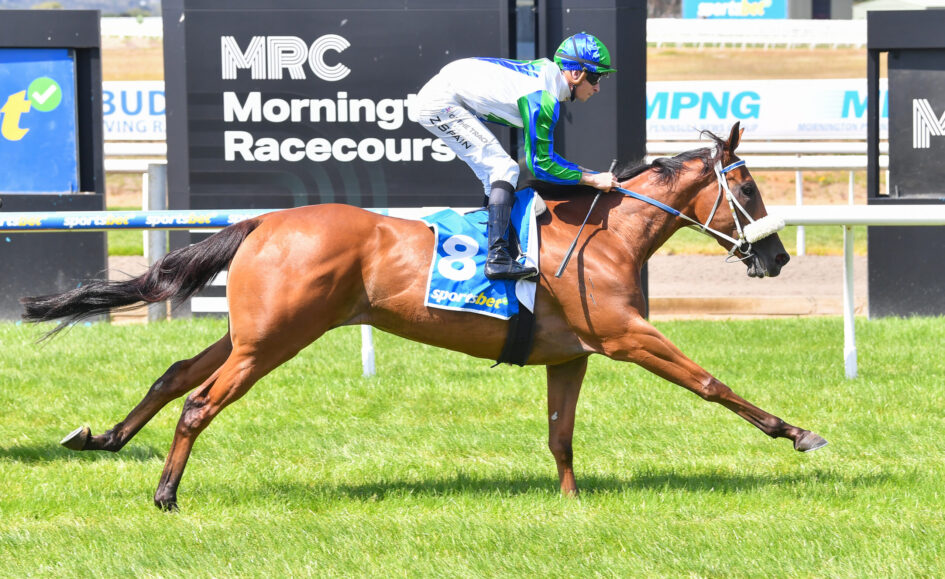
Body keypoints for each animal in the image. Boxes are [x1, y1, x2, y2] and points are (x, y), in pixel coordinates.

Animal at [21, 122, 826, 511]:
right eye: (747, 188)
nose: (777, 256)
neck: (603, 234)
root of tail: (263, 221)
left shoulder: (572, 353)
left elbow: (560, 434)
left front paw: (572, 501)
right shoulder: (626, 336)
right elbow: (711, 383)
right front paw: (797, 432)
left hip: (250, 330)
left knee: (173, 373)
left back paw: (102, 437)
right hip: (274, 339)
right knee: (198, 402)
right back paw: (165, 493)